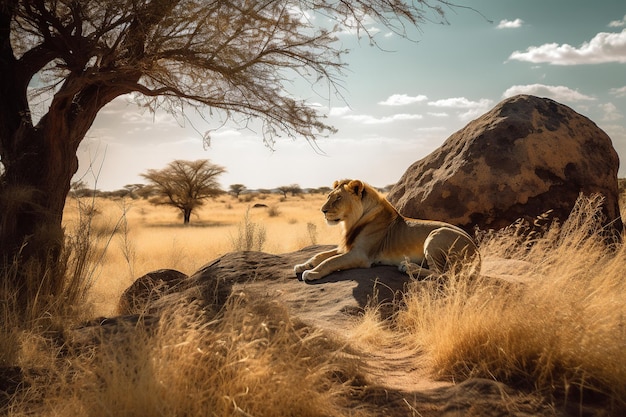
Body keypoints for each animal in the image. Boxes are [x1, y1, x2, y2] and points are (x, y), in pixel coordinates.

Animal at [292, 177, 478, 282]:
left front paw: (311, 272)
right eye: (329, 196)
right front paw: (303, 265)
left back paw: (407, 267)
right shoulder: (346, 248)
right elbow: (320, 255)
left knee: (444, 274)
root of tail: (477, 250)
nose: (322, 211)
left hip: (436, 235)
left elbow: (330, 261)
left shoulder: (361, 255)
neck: (350, 222)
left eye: (338, 198)